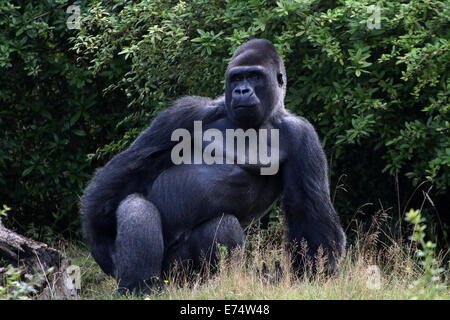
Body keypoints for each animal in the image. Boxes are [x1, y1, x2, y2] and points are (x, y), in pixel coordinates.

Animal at [81, 38, 346, 294]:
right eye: (236, 78)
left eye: (255, 76)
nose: (241, 90)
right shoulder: (188, 111)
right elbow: (133, 165)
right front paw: (101, 242)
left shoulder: (303, 135)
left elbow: (307, 208)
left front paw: (314, 273)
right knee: (136, 204)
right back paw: (139, 285)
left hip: (180, 276)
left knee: (222, 225)